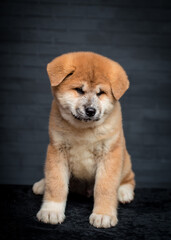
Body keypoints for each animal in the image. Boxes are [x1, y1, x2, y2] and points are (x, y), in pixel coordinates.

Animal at [32, 52, 136, 229]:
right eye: (79, 90)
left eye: (101, 93)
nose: (91, 111)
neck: (83, 130)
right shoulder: (57, 150)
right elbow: (56, 184)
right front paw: (51, 211)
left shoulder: (109, 154)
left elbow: (105, 187)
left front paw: (103, 214)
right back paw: (41, 185)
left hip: (125, 160)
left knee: (129, 178)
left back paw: (123, 192)